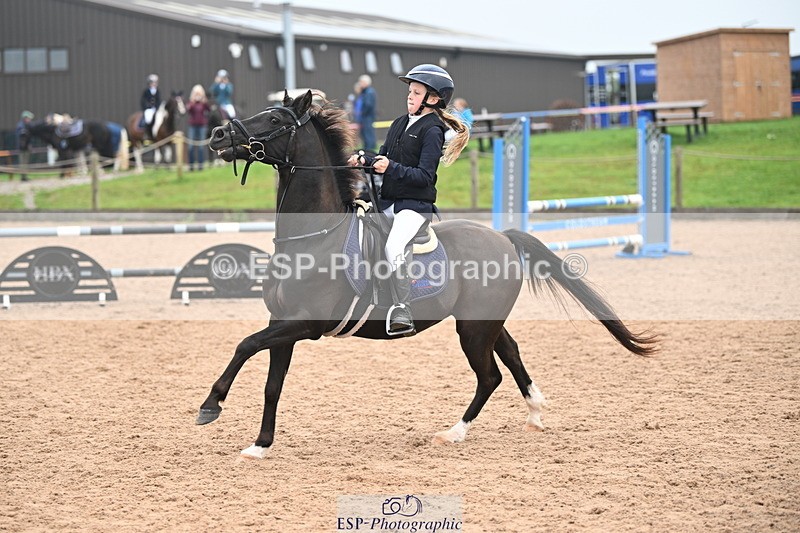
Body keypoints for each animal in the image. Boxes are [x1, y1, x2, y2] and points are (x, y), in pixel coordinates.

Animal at [200, 90, 658, 459]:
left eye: (276, 120)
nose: (219, 135)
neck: (314, 237)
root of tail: (503, 238)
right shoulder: (283, 322)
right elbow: (271, 383)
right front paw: (260, 446)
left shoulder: (305, 323)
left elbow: (244, 345)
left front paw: (211, 405)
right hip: (484, 322)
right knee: (511, 355)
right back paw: (534, 414)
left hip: (473, 329)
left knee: (489, 375)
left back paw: (454, 433)